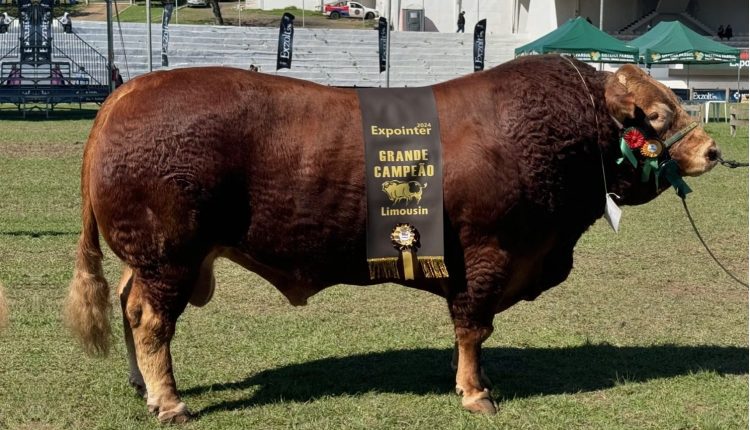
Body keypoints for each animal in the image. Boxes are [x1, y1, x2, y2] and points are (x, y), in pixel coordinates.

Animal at [66, 54, 724, 424]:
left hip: (153, 258)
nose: (715, 151)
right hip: (169, 255)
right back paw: (170, 402)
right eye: (656, 116)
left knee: (127, 305)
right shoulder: (487, 256)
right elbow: (473, 328)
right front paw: (475, 394)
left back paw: (142, 387)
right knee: (151, 321)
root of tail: (125, 94)